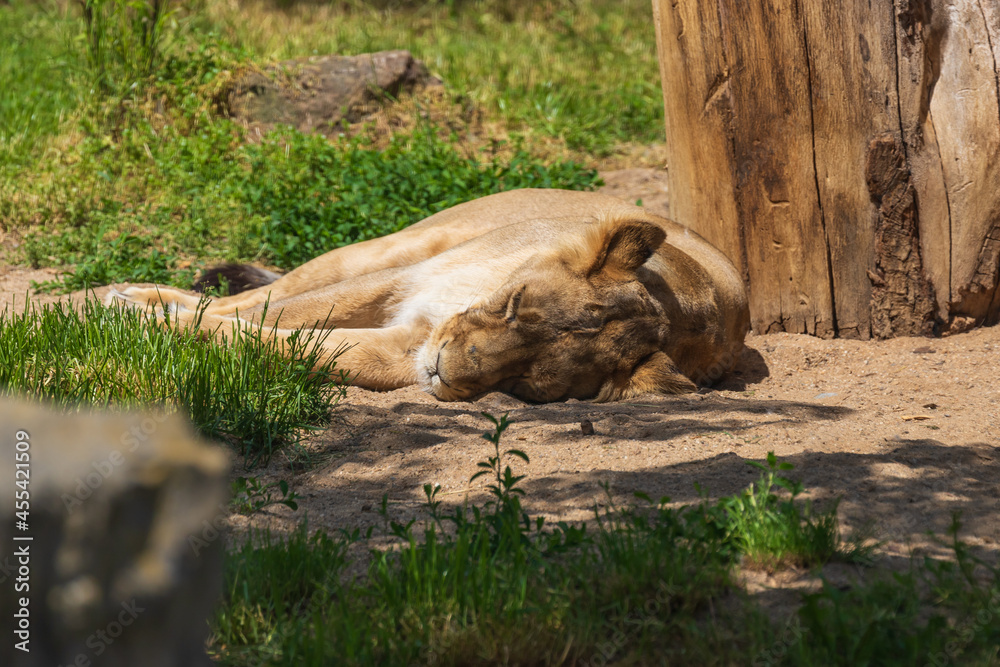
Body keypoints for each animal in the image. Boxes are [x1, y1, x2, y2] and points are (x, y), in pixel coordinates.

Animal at [106, 189, 750, 402]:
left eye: (525, 385)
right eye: (512, 304)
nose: (441, 369)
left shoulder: (406, 345)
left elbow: (299, 345)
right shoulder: (407, 280)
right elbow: (272, 311)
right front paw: (137, 318)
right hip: (398, 246)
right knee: (263, 291)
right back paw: (128, 294)